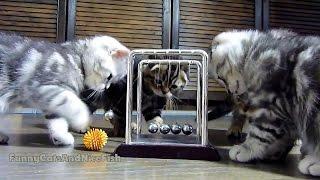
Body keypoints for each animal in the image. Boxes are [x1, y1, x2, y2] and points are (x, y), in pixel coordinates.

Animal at [0, 31, 130, 146]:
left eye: (112, 82)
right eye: (109, 77)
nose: (104, 89)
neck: (76, 58)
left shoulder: (53, 99)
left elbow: (58, 121)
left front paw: (61, 137)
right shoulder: (44, 87)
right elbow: (76, 107)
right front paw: (83, 121)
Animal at [210, 29, 320, 176]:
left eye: (220, 77)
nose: (230, 91)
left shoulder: (271, 107)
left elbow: (260, 133)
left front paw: (246, 149)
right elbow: (280, 135)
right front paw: (273, 153)